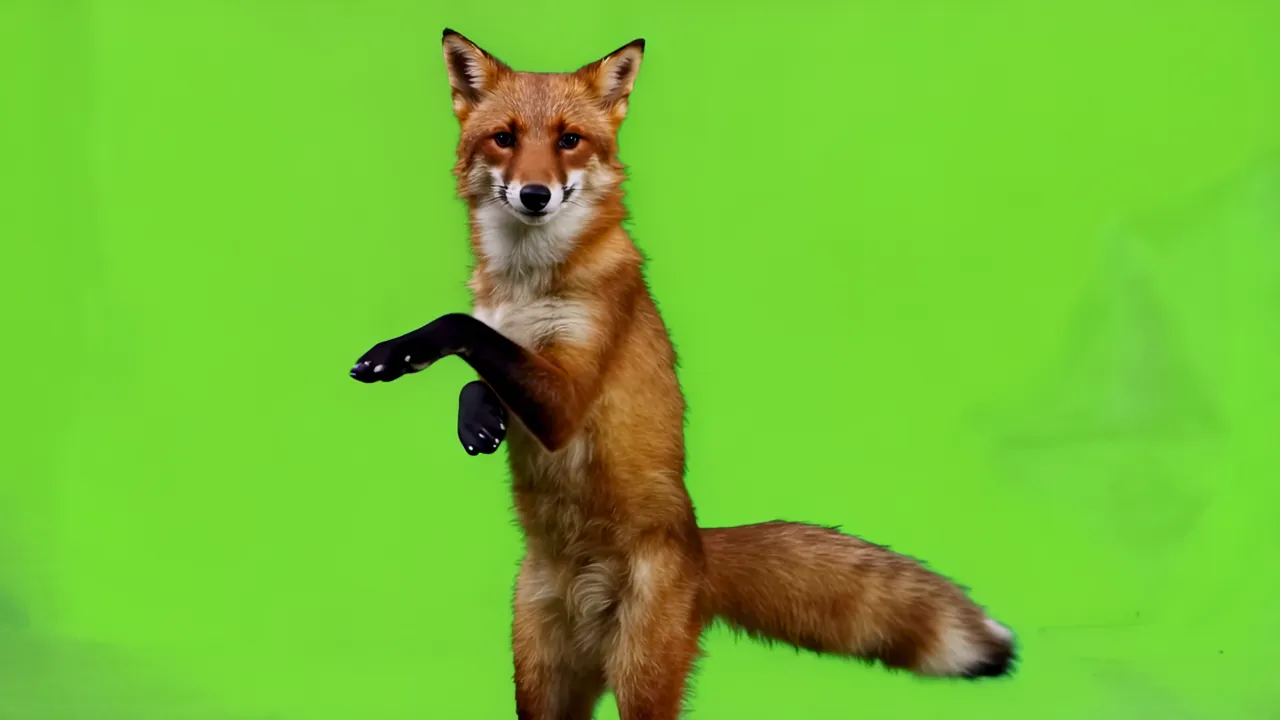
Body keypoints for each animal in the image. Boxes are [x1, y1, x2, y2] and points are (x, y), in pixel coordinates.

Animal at [349, 29, 1017, 720]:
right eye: (504, 138)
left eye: (569, 140)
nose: (535, 195)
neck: (527, 285)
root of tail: (699, 546)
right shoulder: (519, 355)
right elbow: (479, 361)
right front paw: (475, 417)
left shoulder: (567, 395)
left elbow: (464, 329)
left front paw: (402, 354)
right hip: (540, 683)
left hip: (642, 677)